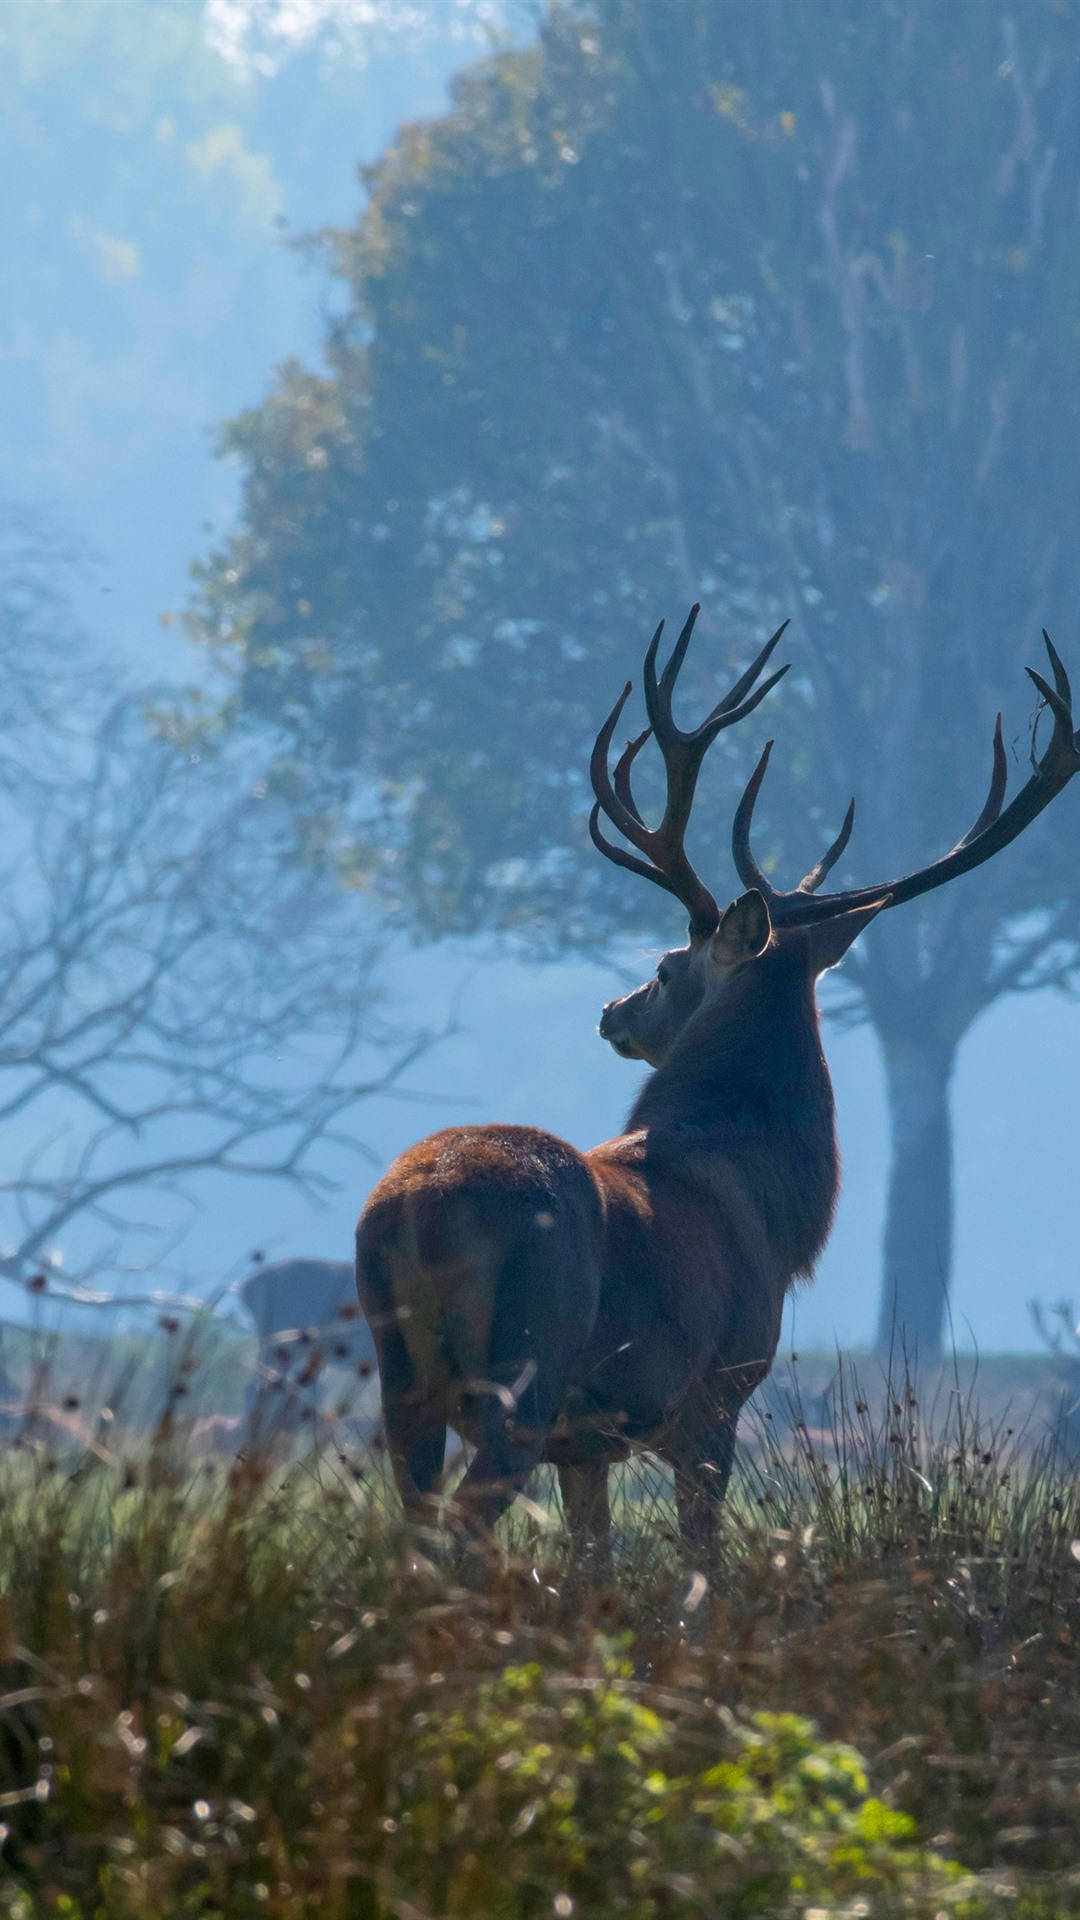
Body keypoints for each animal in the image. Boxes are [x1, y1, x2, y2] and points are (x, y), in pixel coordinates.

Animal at [355, 602, 1076, 1559]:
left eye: (664, 968)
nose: (612, 1010)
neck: (770, 1208)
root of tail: (417, 1209)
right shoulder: (718, 1393)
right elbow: (703, 1562)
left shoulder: (590, 1444)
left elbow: (594, 1565)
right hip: (526, 1363)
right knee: (460, 1537)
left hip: (402, 1379)